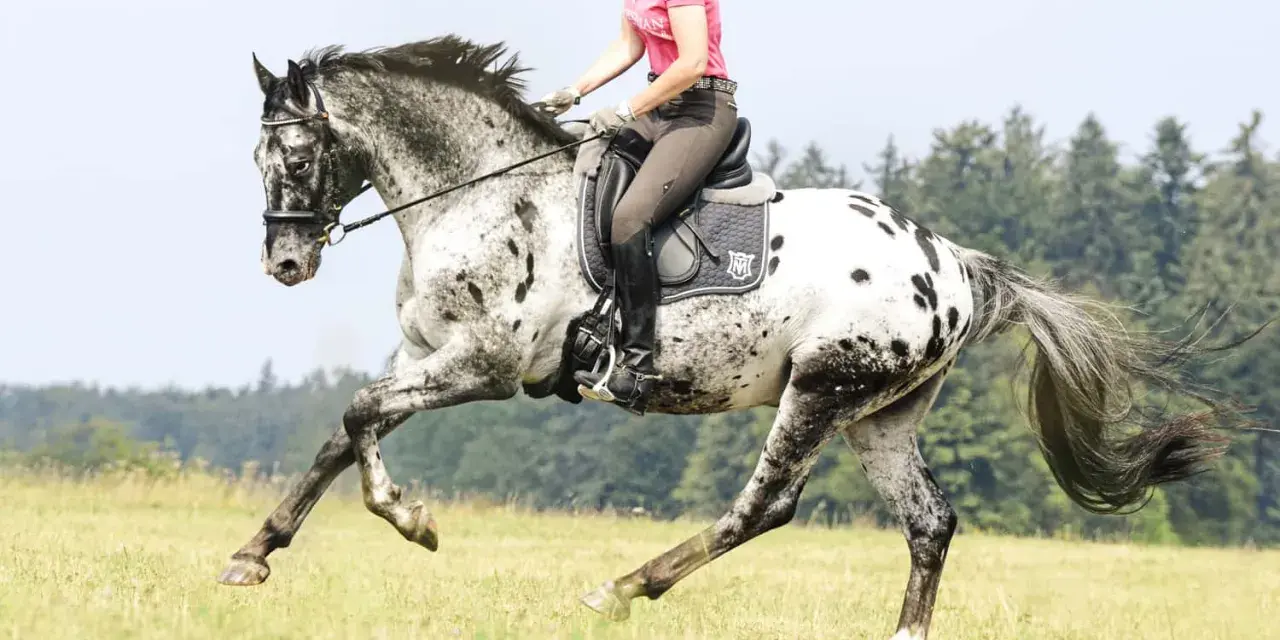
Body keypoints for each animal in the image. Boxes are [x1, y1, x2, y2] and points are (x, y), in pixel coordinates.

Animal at [223, 36, 1254, 640]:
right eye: (257, 156)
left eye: (297, 155)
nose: (284, 264)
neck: (484, 193)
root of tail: (955, 264)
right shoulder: (426, 358)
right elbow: (344, 433)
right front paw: (257, 552)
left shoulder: (483, 365)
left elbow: (359, 418)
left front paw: (411, 519)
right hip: (882, 414)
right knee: (928, 522)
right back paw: (901, 634)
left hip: (822, 386)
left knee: (764, 506)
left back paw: (623, 588)